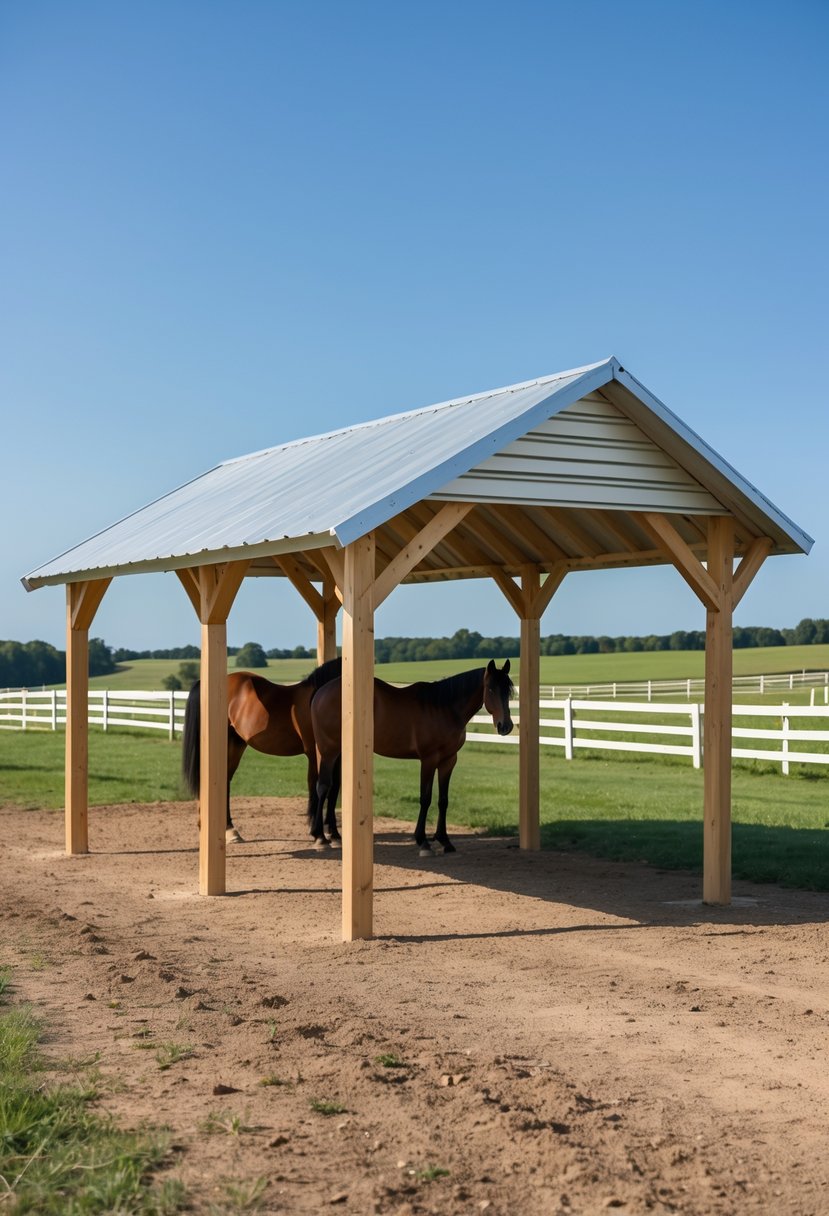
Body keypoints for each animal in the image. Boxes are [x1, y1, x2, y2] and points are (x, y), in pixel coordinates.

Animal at [181, 657, 342, 843]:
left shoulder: (336, 755)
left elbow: (334, 788)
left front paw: (334, 833)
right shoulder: (316, 754)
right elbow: (317, 787)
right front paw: (318, 833)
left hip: (236, 744)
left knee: (226, 779)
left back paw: (230, 830)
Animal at [310, 660, 514, 855]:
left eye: (509, 691)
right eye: (490, 689)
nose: (506, 726)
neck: (444, 709)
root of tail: (321, 692)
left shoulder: (449, 760)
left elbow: (443, 800)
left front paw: (444, 840)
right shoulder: (429, 759)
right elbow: (425, 798)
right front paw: (423, 842)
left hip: (338, 752)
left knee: (332, 787)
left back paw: (334, 835)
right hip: (328, 751)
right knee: (323, 786)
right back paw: (320, 836)